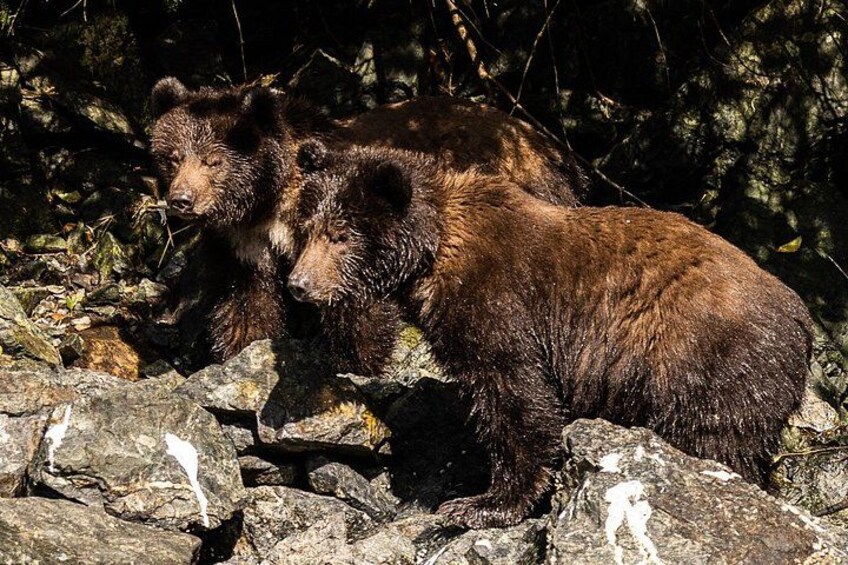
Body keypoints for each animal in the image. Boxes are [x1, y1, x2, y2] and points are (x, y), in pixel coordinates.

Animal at [148, 78, 586, 368]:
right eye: (172, 156)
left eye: (214, 160)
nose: (181, 199)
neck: (269, 200)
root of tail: (545, 141)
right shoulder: (247, 243)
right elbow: (247, 300)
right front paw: (238, 347)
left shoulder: (343, 224)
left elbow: (352, 296)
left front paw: (364, 357)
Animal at [287, 141, 813, 529]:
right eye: (308, 227)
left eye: (343, 235)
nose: (299, 284)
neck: (433, 253)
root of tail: (802, 324)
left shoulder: (500, 301)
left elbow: (514, 395)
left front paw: (481, 503)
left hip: (705, 365)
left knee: (716, 444)